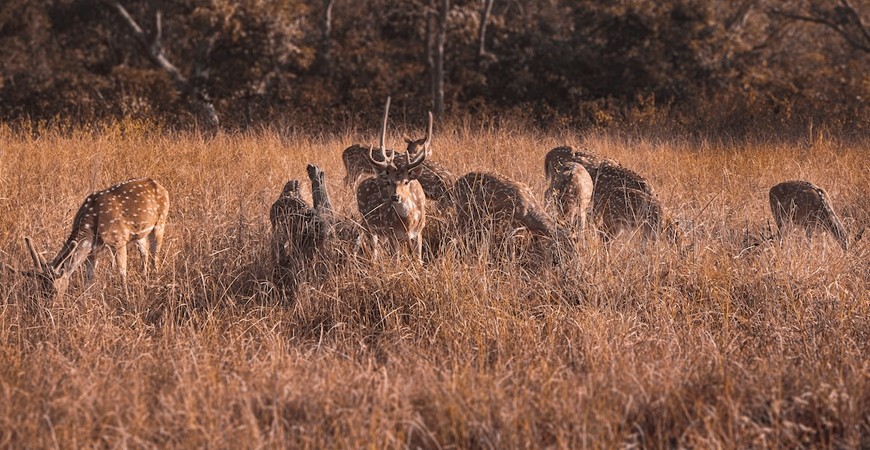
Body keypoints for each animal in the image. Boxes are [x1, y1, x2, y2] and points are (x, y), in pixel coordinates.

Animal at [0, 178, 170, 300]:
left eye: (54, 290)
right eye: (41, 290)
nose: (49, 308)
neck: (91, 229)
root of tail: (160, 185)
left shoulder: (119, 240)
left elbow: (122, 272)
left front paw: (126, 299)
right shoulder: (92, 251)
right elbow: (89, 277)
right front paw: (85, 299)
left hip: (160, 223)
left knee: (155, 255)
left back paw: (156, 282)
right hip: (140, 234)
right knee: (145, 254)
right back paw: (145, 280)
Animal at [358, 96, 430, 262]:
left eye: (406, 181)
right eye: (388, 182)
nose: (395, 197)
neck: (408, 224)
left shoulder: (419, 232)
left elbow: (419, 261)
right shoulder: (391, 233)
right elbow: (395, 262)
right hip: (367, 223)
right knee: (374, 253)